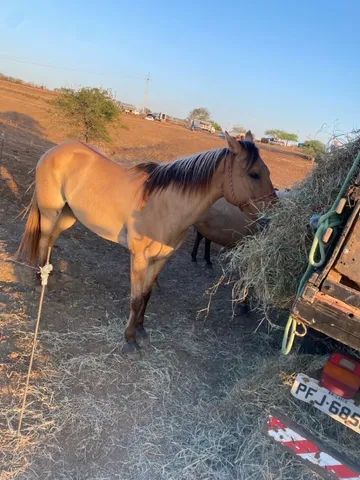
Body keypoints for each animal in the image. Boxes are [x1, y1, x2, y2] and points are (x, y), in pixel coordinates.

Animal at [17, 132, 276, 352]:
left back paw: (48, 272)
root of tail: (55, 149)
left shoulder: (161, 259)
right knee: (43, 239)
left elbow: (147, 295)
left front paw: (141, 331)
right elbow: (136, 298)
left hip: (68, 215)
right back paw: (39, 280)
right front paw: (130, 339)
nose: (272, 214)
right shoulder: (140, 258)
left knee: (51, 239)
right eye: (254, 174)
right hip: (51, 212)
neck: (166, 205)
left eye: (268, 172)